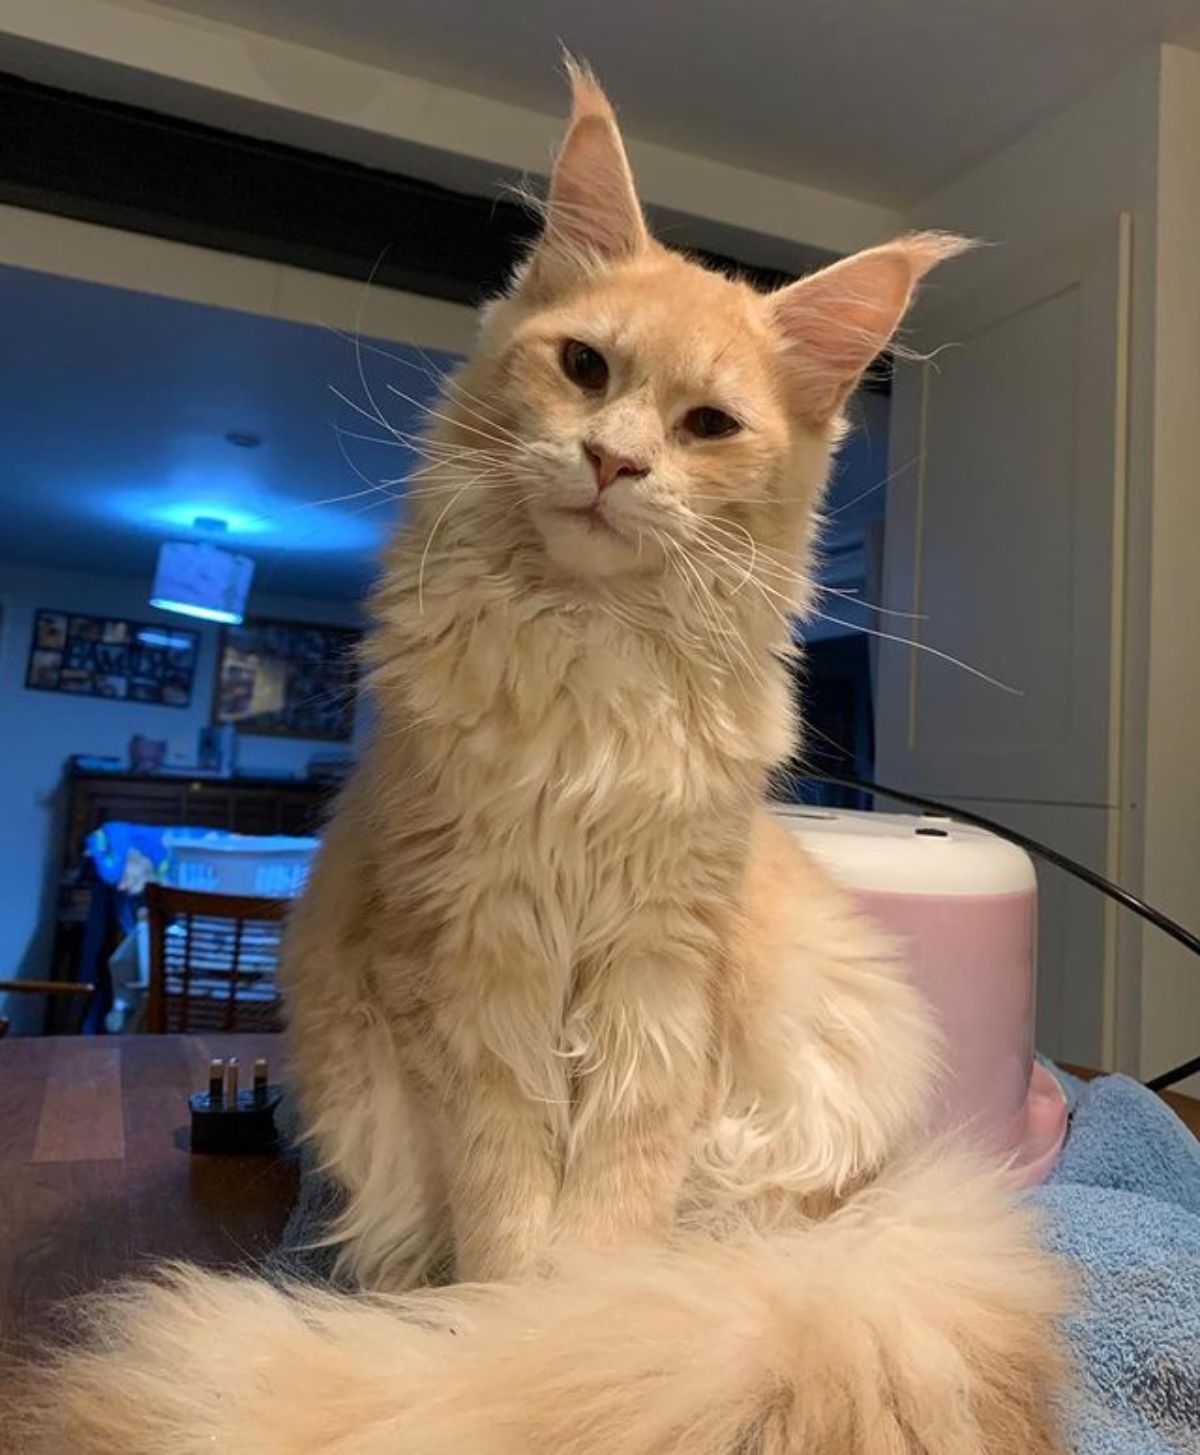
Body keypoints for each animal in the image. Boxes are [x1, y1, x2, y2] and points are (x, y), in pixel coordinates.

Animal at [11, 65, 1064, 1455]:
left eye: (708, 425)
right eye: (583, 366)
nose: (615, 460)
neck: (588, 657)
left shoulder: (658, 975)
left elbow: (613, 1200)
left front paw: (576, 1330)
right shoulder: (472, 960)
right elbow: (510, 1194)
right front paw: (523, 1327)